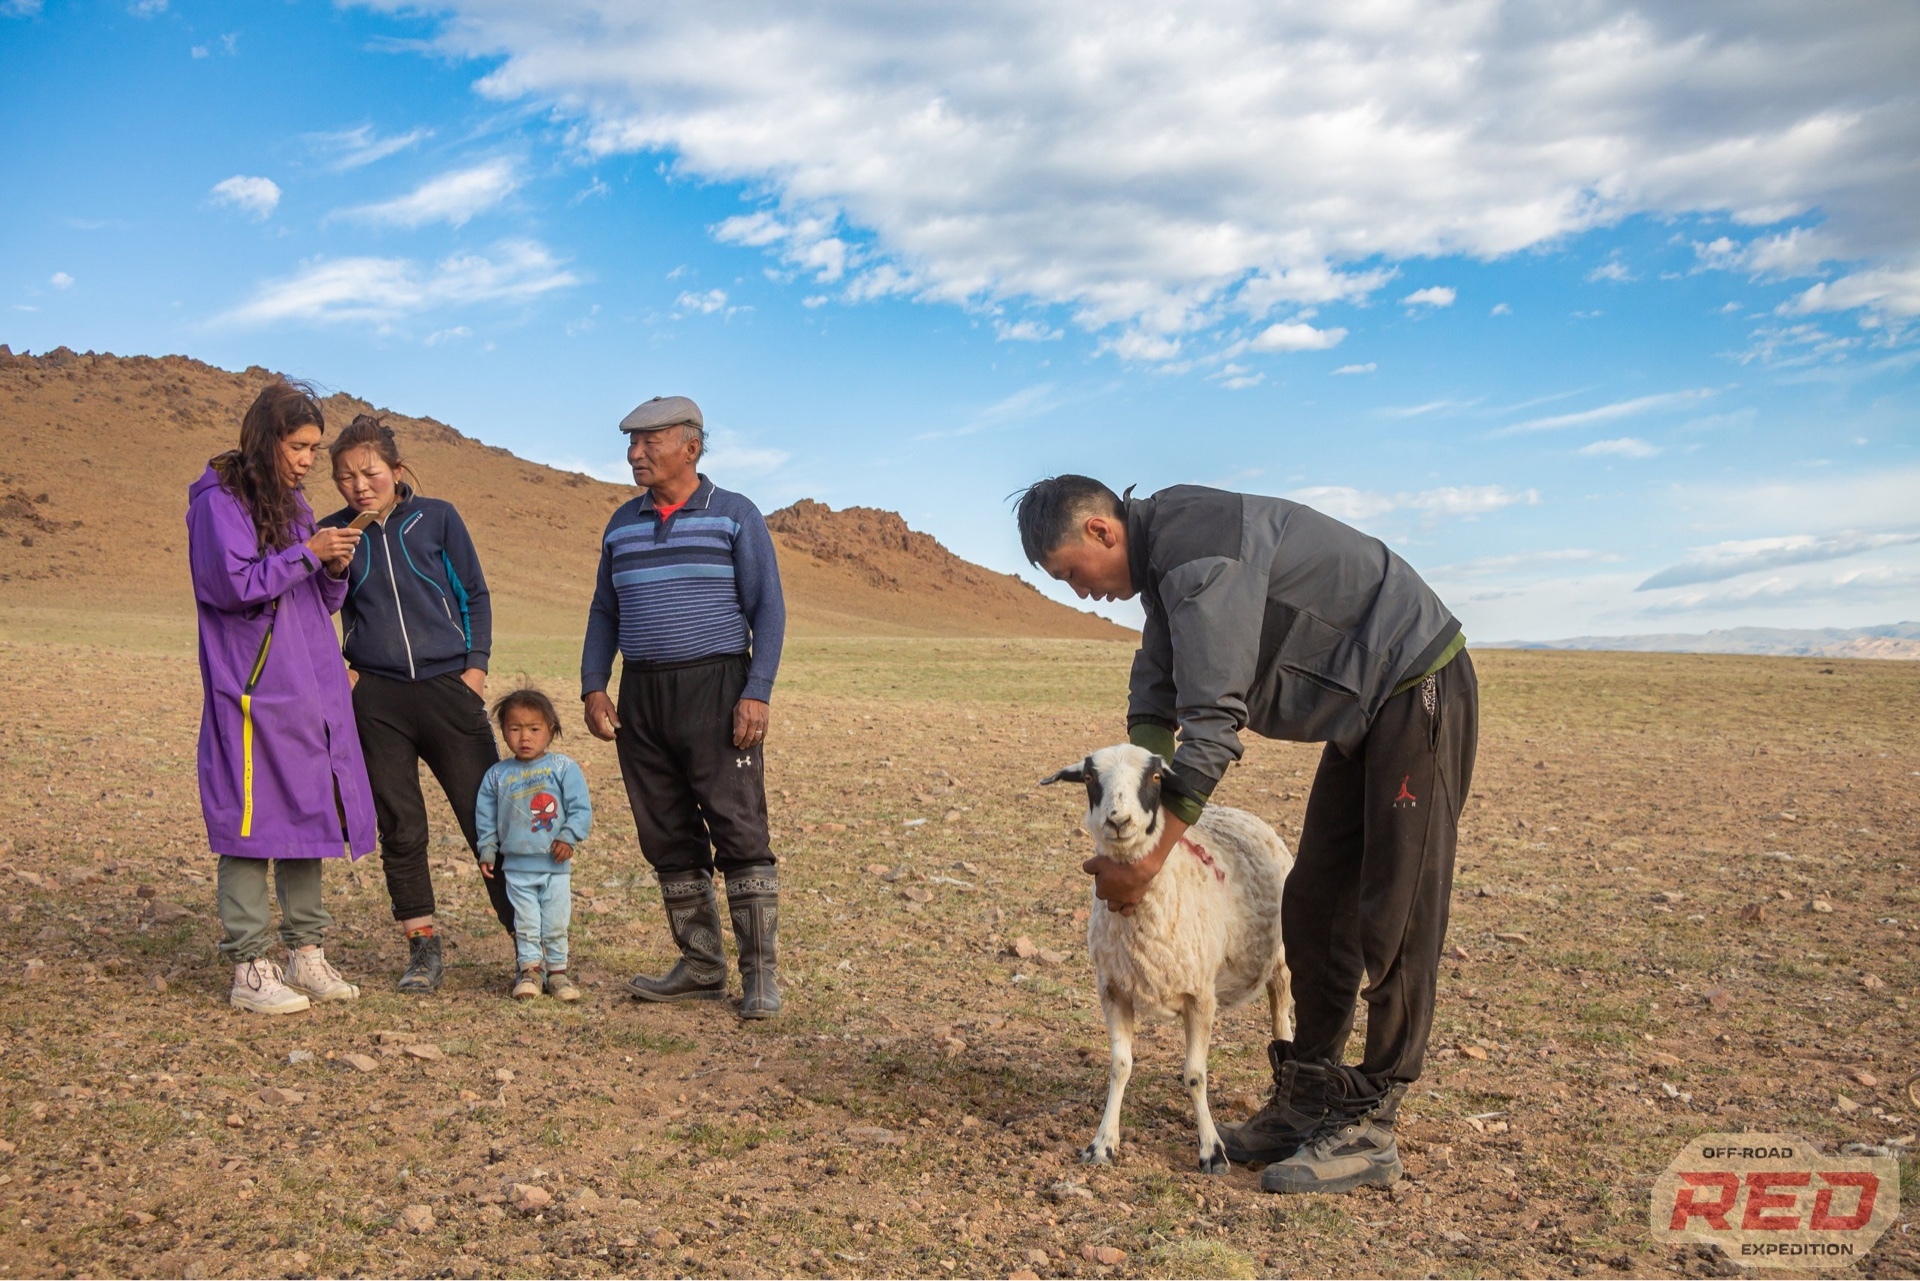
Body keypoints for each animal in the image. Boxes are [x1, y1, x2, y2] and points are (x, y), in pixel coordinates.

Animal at [1044, 745, 1297, 1175]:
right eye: (1090, 778)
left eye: (1156, 778)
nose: (1119, 821)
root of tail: (1236, 811)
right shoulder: (1113, 991)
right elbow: (1120, 1066)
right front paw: (1102, 1144)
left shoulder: (1201, 997)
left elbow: (1195, 1076)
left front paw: (1212, 1151)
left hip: (1280, 956)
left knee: (1281, 1008)